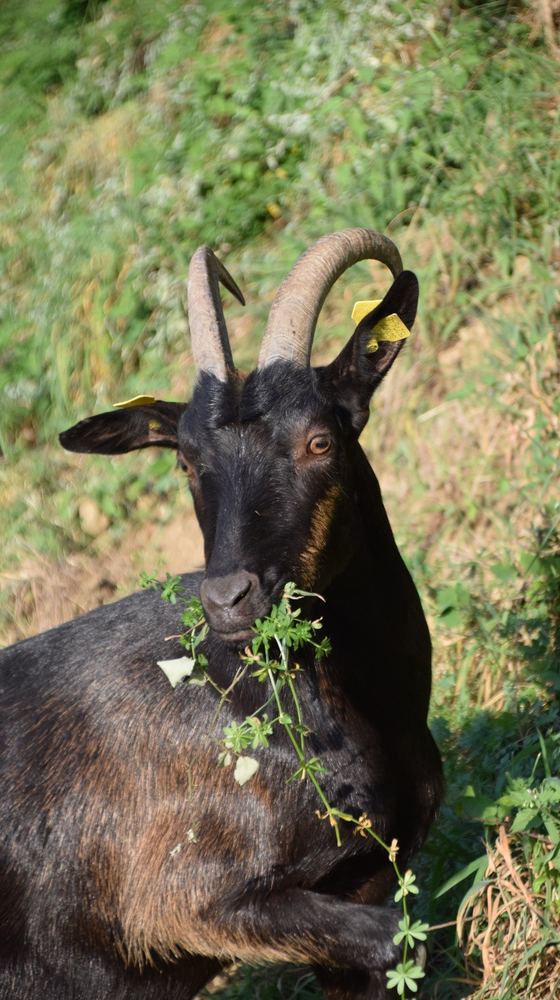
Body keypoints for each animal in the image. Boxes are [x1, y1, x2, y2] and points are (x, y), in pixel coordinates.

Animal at [0, 229, 442, 1000]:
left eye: (320, 440)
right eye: (184, 459)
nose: (229, 599)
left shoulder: (370, 875)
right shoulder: (177, 900)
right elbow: (390, 940)